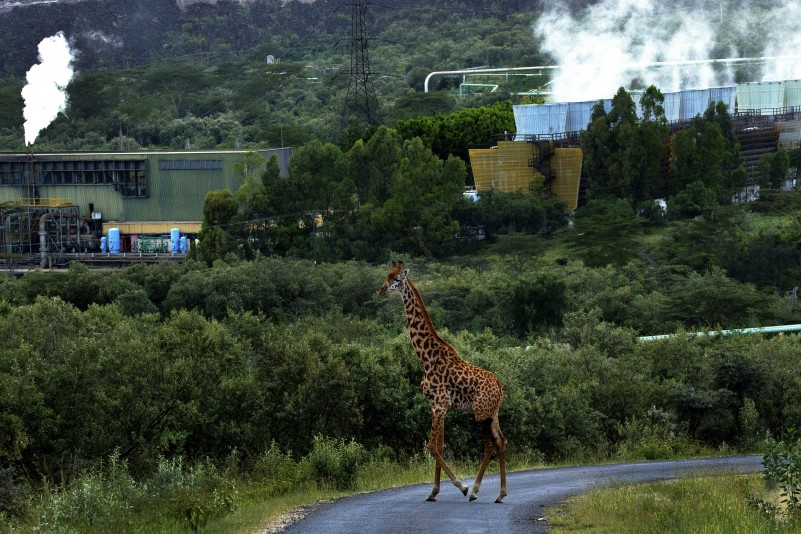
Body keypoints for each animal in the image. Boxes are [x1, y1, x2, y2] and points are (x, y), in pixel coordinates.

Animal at [376, 262, 506, 504]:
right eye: (386, 275)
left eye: (396, 278)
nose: (380, 290)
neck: (426, 358)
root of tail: (501, 388)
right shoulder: (438, 407)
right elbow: (440, 445)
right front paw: (434, 492)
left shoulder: (439, 404)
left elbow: (431, 446)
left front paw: (461, 486)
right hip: (493, 414)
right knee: (501, 442)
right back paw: (501, 494)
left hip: (480, 413)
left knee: (489, 445)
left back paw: (475, 491)